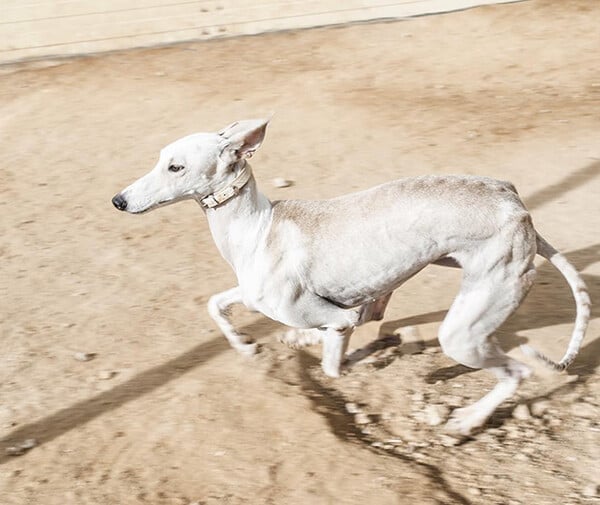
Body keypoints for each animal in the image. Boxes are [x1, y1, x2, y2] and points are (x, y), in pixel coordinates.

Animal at [112, 118, 592, 434]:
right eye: (160, 159)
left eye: (175, 167)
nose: (118, 201)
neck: (258, 227)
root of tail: (518, 206)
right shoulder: (255, 296)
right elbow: (217, 305)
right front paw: (249, 344)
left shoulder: (333, 317)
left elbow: (333, 362)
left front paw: (326, 351)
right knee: (381, 313)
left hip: (464, 331)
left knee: (516, 371)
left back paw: (466, 420)